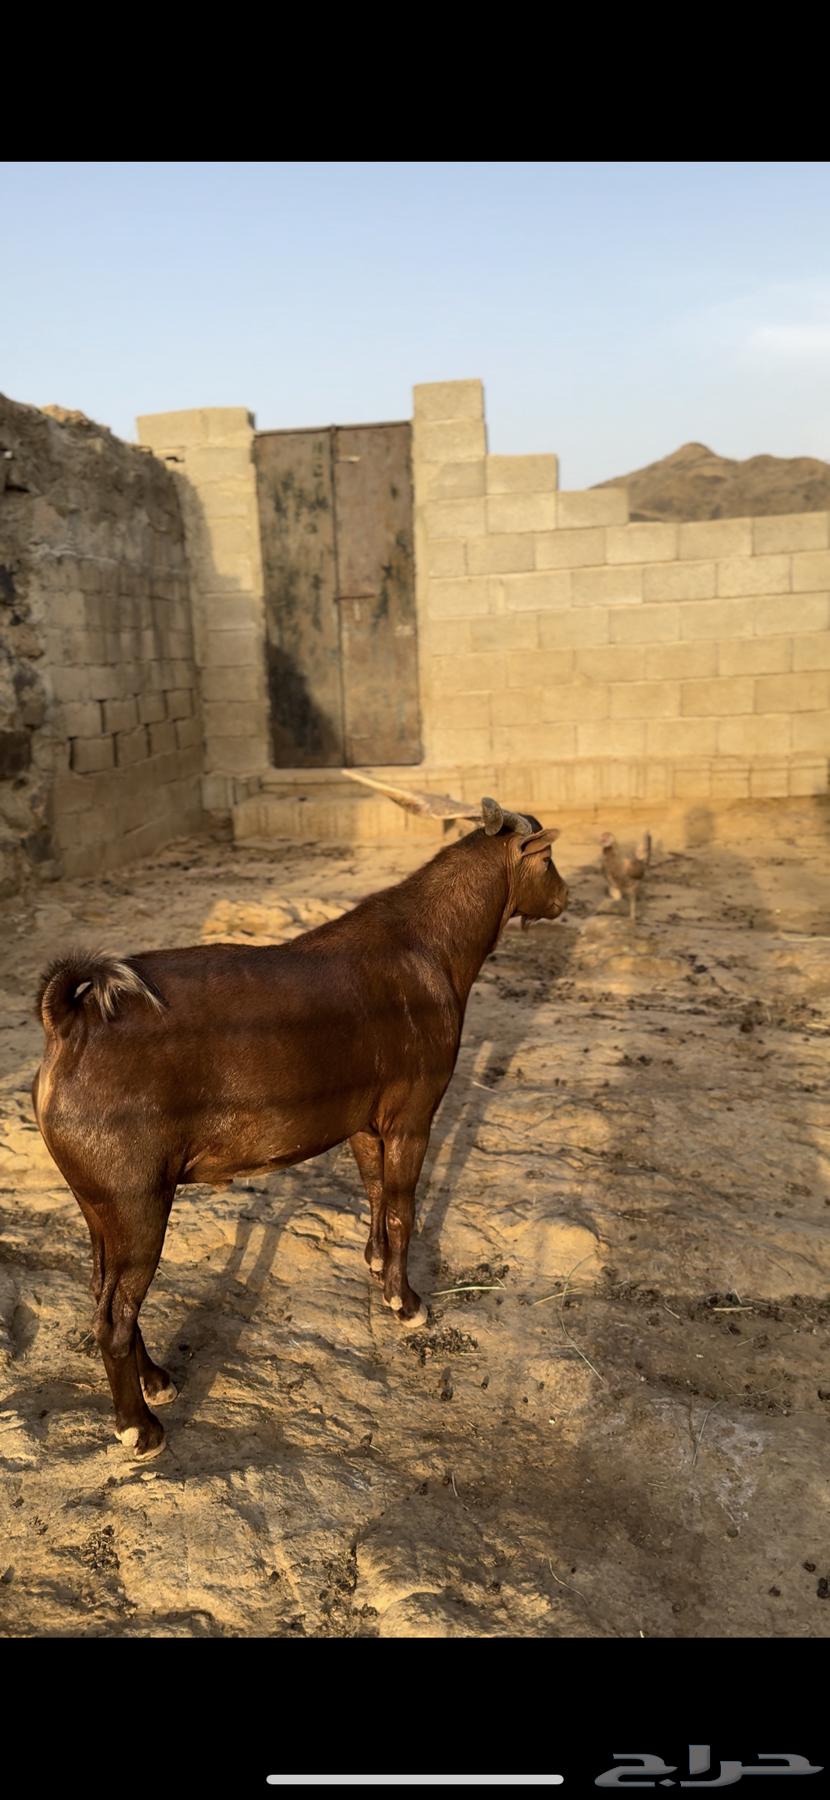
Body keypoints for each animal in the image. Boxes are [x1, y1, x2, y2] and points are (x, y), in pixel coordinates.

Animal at [32, 796, 568, 1457]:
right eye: (547, 857)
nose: (565, 897)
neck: (427, 944)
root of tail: (70, 1024)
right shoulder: (413, 1115)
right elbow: (402, 1206)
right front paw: (406, 1302)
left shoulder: (365, 1121)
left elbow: (374, 1189)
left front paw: (374, 1266)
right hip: (136, 1201)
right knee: (116, 1315)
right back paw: (141, 1427)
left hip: (99, 1205)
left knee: (104, 1294)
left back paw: (157, 1380)